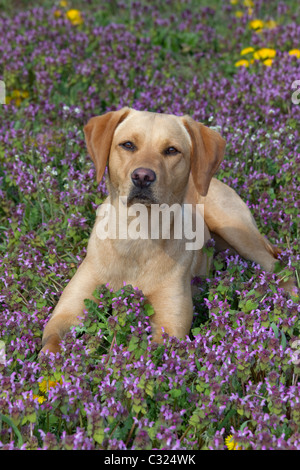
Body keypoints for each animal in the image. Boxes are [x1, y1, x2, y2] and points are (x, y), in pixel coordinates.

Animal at [41, 108, 288, 354]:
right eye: (128, 145)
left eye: (171, 150)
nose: (142, 176)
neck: (137, 233)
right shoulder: (67, 311)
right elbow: (50, 346)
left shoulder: (170, 324)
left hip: (236, 230)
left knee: (278, 267)